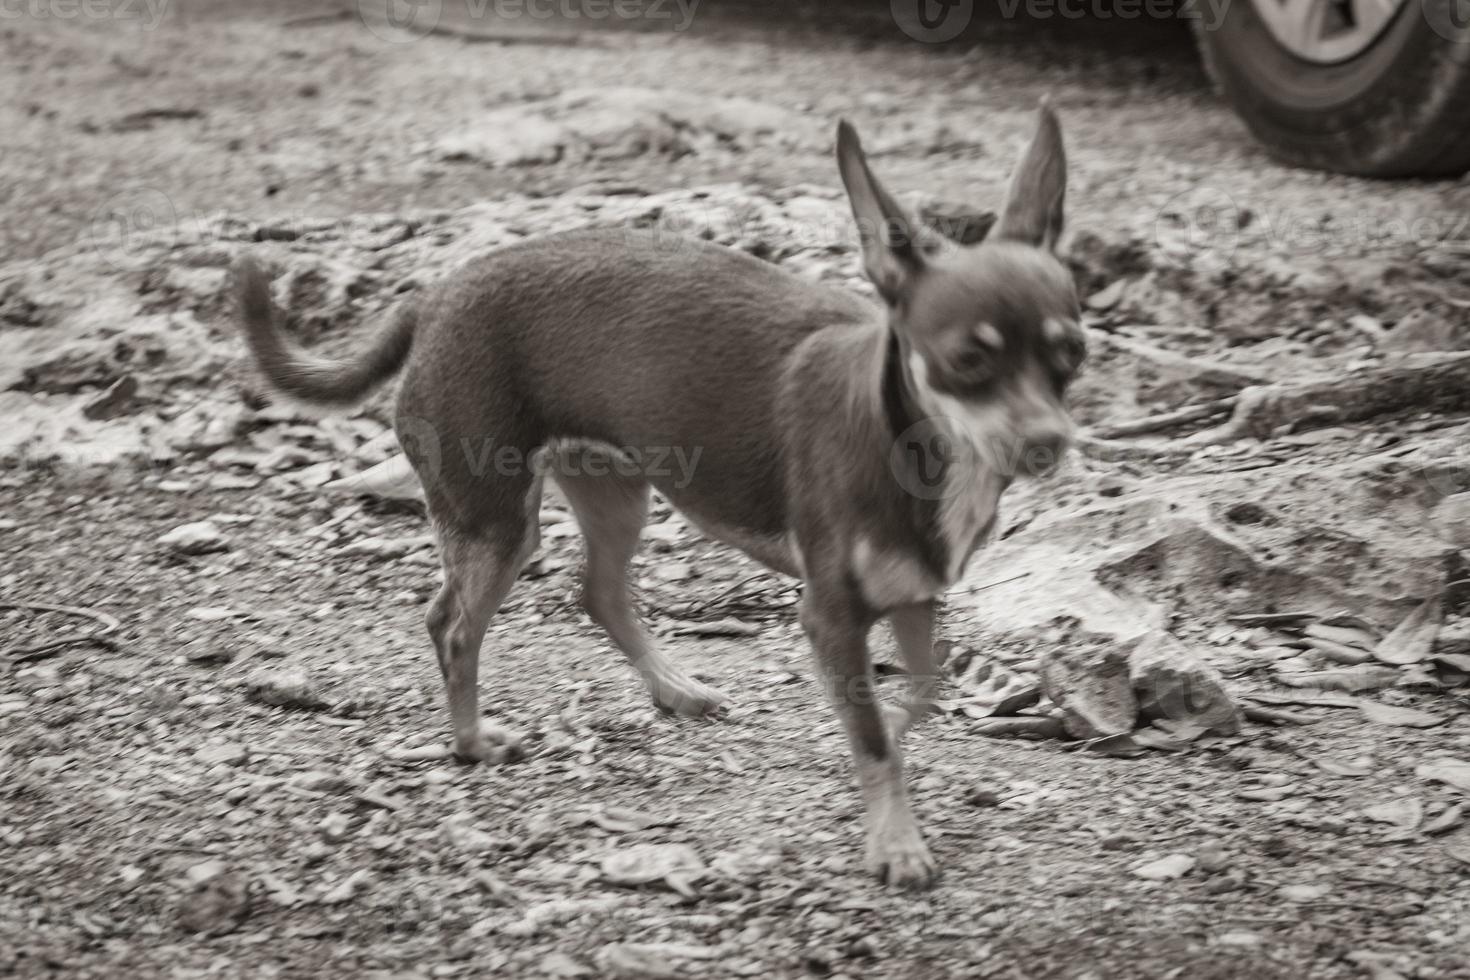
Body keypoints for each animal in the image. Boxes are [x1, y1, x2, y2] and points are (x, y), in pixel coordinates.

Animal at [235, 105, 1087, 887]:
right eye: (967, 363)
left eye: (1071, 354)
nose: (1050, 440)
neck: (917, 445)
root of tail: (435, 295)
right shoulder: (831, 614)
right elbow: (876, 738)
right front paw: (896, 840)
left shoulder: (913, 598)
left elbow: (916, 700)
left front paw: (890, 765)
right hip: (495, 522)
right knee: (453, 627)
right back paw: (473, 742)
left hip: (615, 497)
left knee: (599, 595)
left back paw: (674, 690)